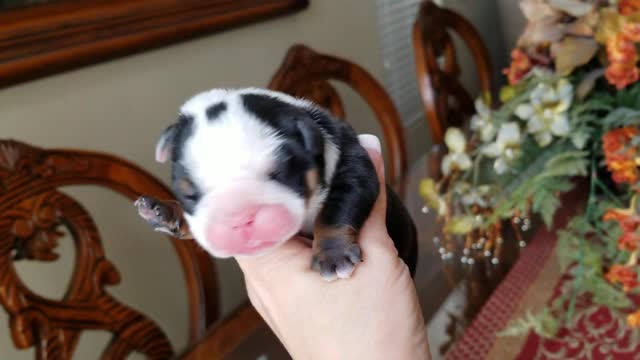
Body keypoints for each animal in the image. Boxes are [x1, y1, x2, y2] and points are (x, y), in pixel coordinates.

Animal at [136, 88, 418, 280]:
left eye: (279, 173)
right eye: (189, 194)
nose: (239, 219)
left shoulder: (353, 164)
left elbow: (337, 208)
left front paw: (333, 255)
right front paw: (162, 211)